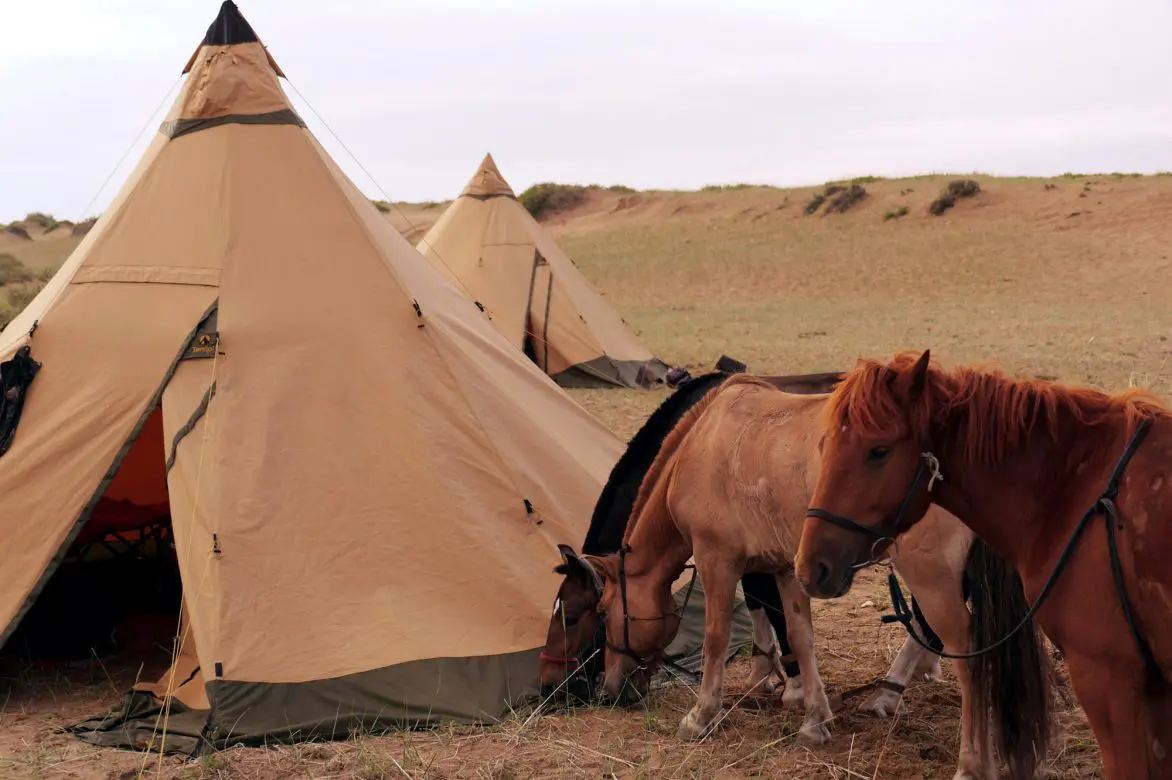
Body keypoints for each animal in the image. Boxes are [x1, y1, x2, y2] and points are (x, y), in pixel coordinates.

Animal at [539, 365, 944, 710]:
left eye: (576, 615)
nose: (549, 685)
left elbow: (771, 606)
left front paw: (792, 683)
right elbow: (757, 600)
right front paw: (764, 672)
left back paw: (892, 689)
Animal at [580, 374, 1032, 780]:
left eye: (603, 611)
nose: (606, 689)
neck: (704, 442)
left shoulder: (717, 560)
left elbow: (716, 638)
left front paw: (702, 714)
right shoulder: (786, 568)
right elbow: (800, 637)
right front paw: (814, 718)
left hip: (932, 578)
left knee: (966, 656)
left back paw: (968, 762)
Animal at [796, 348, 1172, 780]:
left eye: (878, 451)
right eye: (825, 445)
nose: (811, 566)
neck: (1077, 489)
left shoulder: (1108, 679)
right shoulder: (1154, 689)